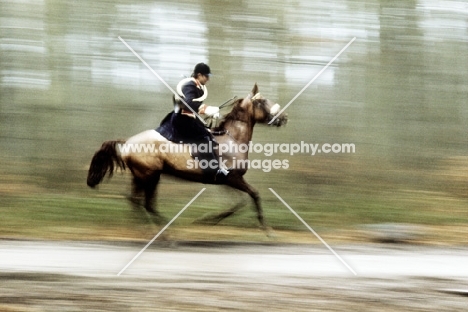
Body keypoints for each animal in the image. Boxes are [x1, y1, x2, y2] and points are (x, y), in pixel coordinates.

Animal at [86, 84, 288, 233]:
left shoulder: (226, 181)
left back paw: (144, 228)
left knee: (135, 200)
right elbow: (254, 195)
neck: (233, 138)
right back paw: (165, 231)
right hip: (150, 176)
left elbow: (238, 203)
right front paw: (267, 229)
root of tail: (128, 142)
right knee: (145, 203)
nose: (284, 117)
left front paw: (207, 220)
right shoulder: (233, 179)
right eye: (262, 101)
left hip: (142, 176)